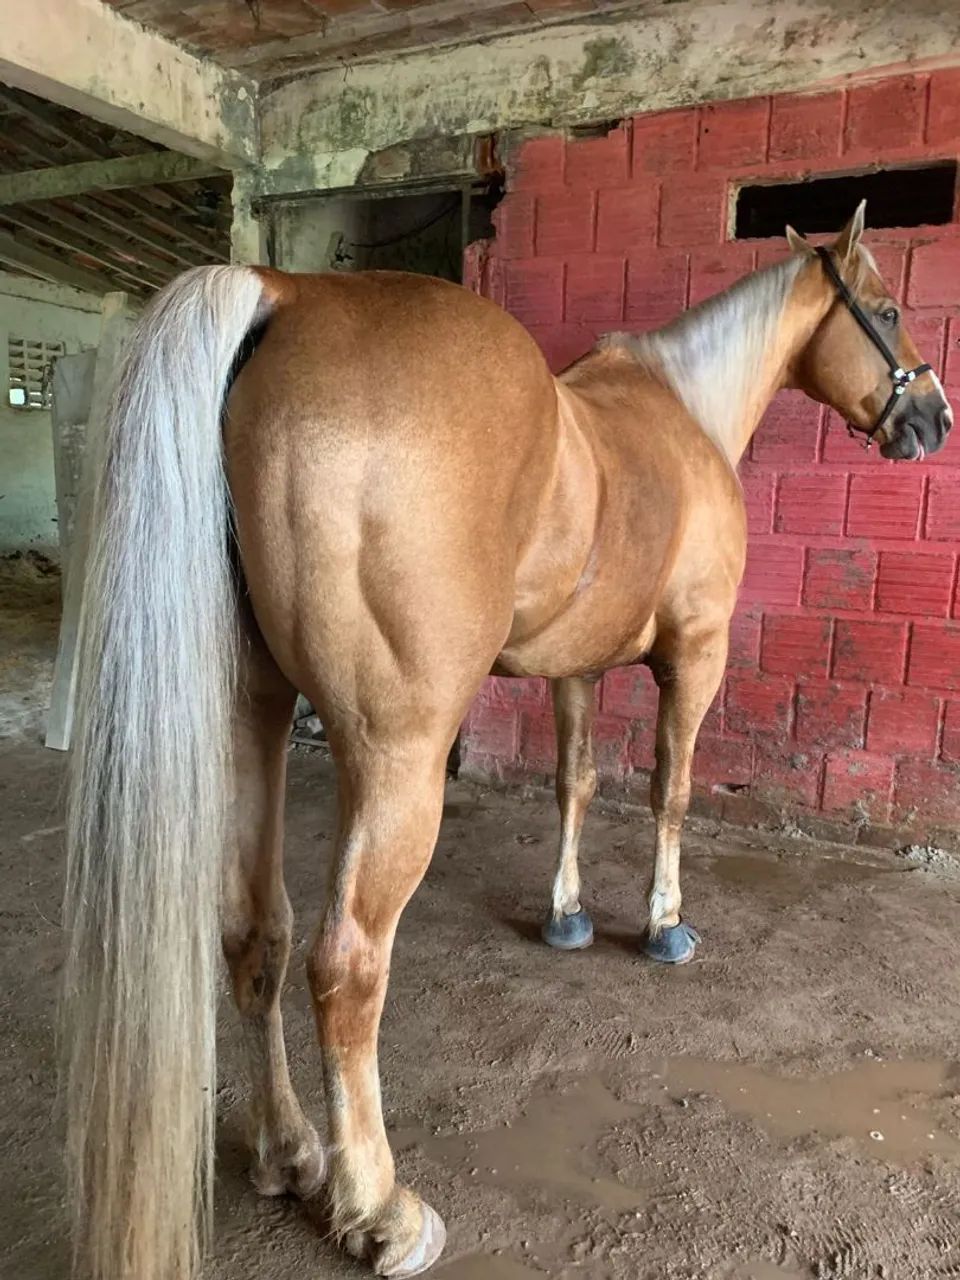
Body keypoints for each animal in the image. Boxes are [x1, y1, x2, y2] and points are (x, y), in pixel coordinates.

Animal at [61, 201, 951, 1280]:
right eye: (890, 307)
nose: (933, 420)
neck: (685, 413)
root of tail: (287, 291)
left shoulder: (576, 665)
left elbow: (575, 781)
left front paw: (566, 915)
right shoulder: (695, 654)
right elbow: (670, 790)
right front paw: (665, 926)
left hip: (251, 716)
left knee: (255, 930)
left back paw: (287, 1152)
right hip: (396, 756)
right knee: (344, 963)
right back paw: (377, 1206)